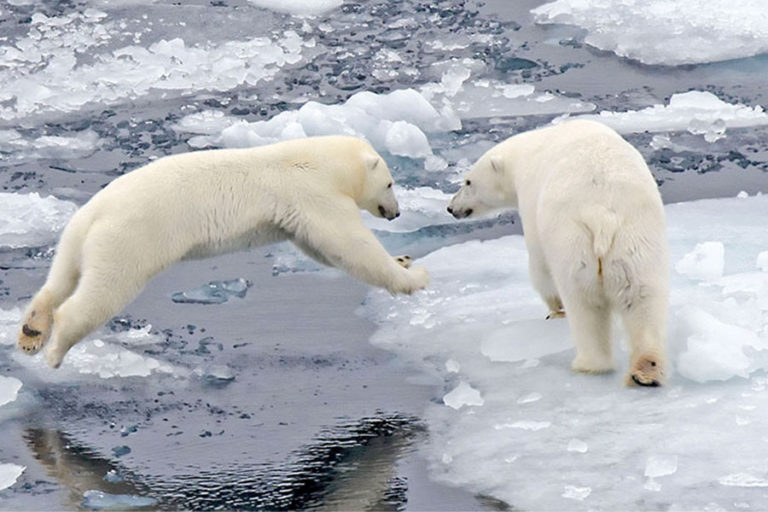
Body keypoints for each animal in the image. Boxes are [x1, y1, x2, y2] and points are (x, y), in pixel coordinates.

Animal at [18, 136, 428, 368]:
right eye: (390, 183)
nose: (396, 213)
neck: (320, 161)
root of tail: (94, 213)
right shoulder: (313, 193)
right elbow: (348, 245)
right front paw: (414, 276)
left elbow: (322, 250)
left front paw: (404, 259)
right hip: (130, 240)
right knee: (102, 292)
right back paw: (55, 350)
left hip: (75, 237)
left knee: (60, 277)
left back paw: (31, 331)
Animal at [448, 119, 668, 384]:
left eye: (468, 182)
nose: (451, 208)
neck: (526, 152)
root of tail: (601, 213)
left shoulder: (531, 200)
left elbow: (539, 265)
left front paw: (554, 309)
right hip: (636, 240)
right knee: (642, 297)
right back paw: (646, 370)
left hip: (573, 243)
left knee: (584, 304)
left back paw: (587, 363)